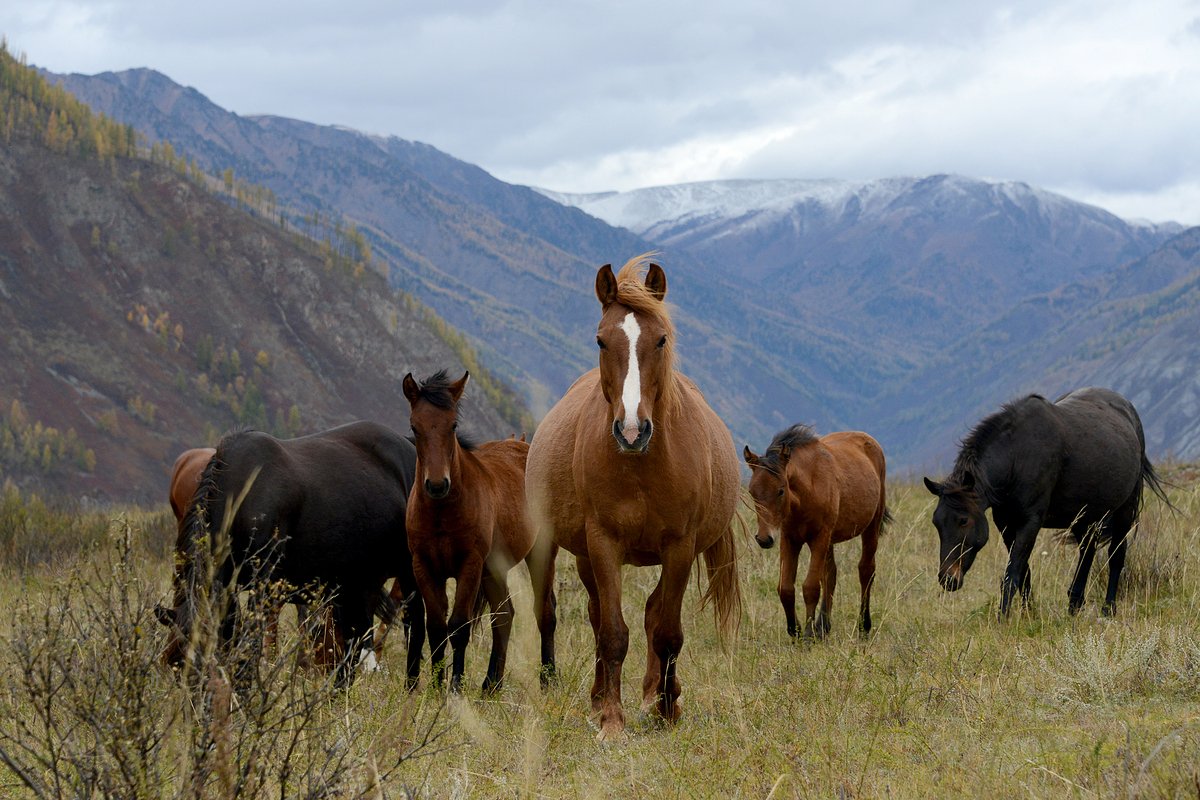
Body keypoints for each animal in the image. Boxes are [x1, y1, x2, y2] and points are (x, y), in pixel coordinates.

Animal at [154, 419, 427, 690]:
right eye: (175, 665)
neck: (243, 496)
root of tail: (408, 446)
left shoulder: (262, 587)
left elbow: (250, 646)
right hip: (359, 582)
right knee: (354, 639)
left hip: (405, 572)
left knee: (413, 626)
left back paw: (411, 688)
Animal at [400, 371, 554, 690]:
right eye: (414, 426)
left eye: (453, 425)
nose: (437, 485)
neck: (442, 513)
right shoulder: (424, 567)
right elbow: (436, 628)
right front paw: (436, 687)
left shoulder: (469, 565)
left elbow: (459, 626)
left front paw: (455, 687)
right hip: (494, 570)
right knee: (504, 616)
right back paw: (491, 685)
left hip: (541, 555)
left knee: (544, 612)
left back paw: (548, 679)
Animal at [528, 255, 739, 738]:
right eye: (601, 340)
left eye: (660, 339)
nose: (630, 430)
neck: (642, 466)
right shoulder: (603, 543)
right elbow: (612, 632)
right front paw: (610, 719)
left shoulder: (680, 546)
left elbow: (667, 632)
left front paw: (666, 708)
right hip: (575, 552)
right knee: (588, 614)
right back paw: (596, 698)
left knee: (654, 612)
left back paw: (659, 695)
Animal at [921, 388, 1166, 618]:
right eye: (936, 522)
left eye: (963, 520)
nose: (948, 579)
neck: (1018, 457)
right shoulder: (1006, 523)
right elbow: (1023, 572)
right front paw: (1028, 614)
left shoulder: (1030, 521)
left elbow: (1012, 573)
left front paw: (1003, 618)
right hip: (1083, 517)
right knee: (1087, 552)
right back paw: (1074, 605)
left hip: (1125, 509)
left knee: (1116, 554)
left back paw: (1108, 608)